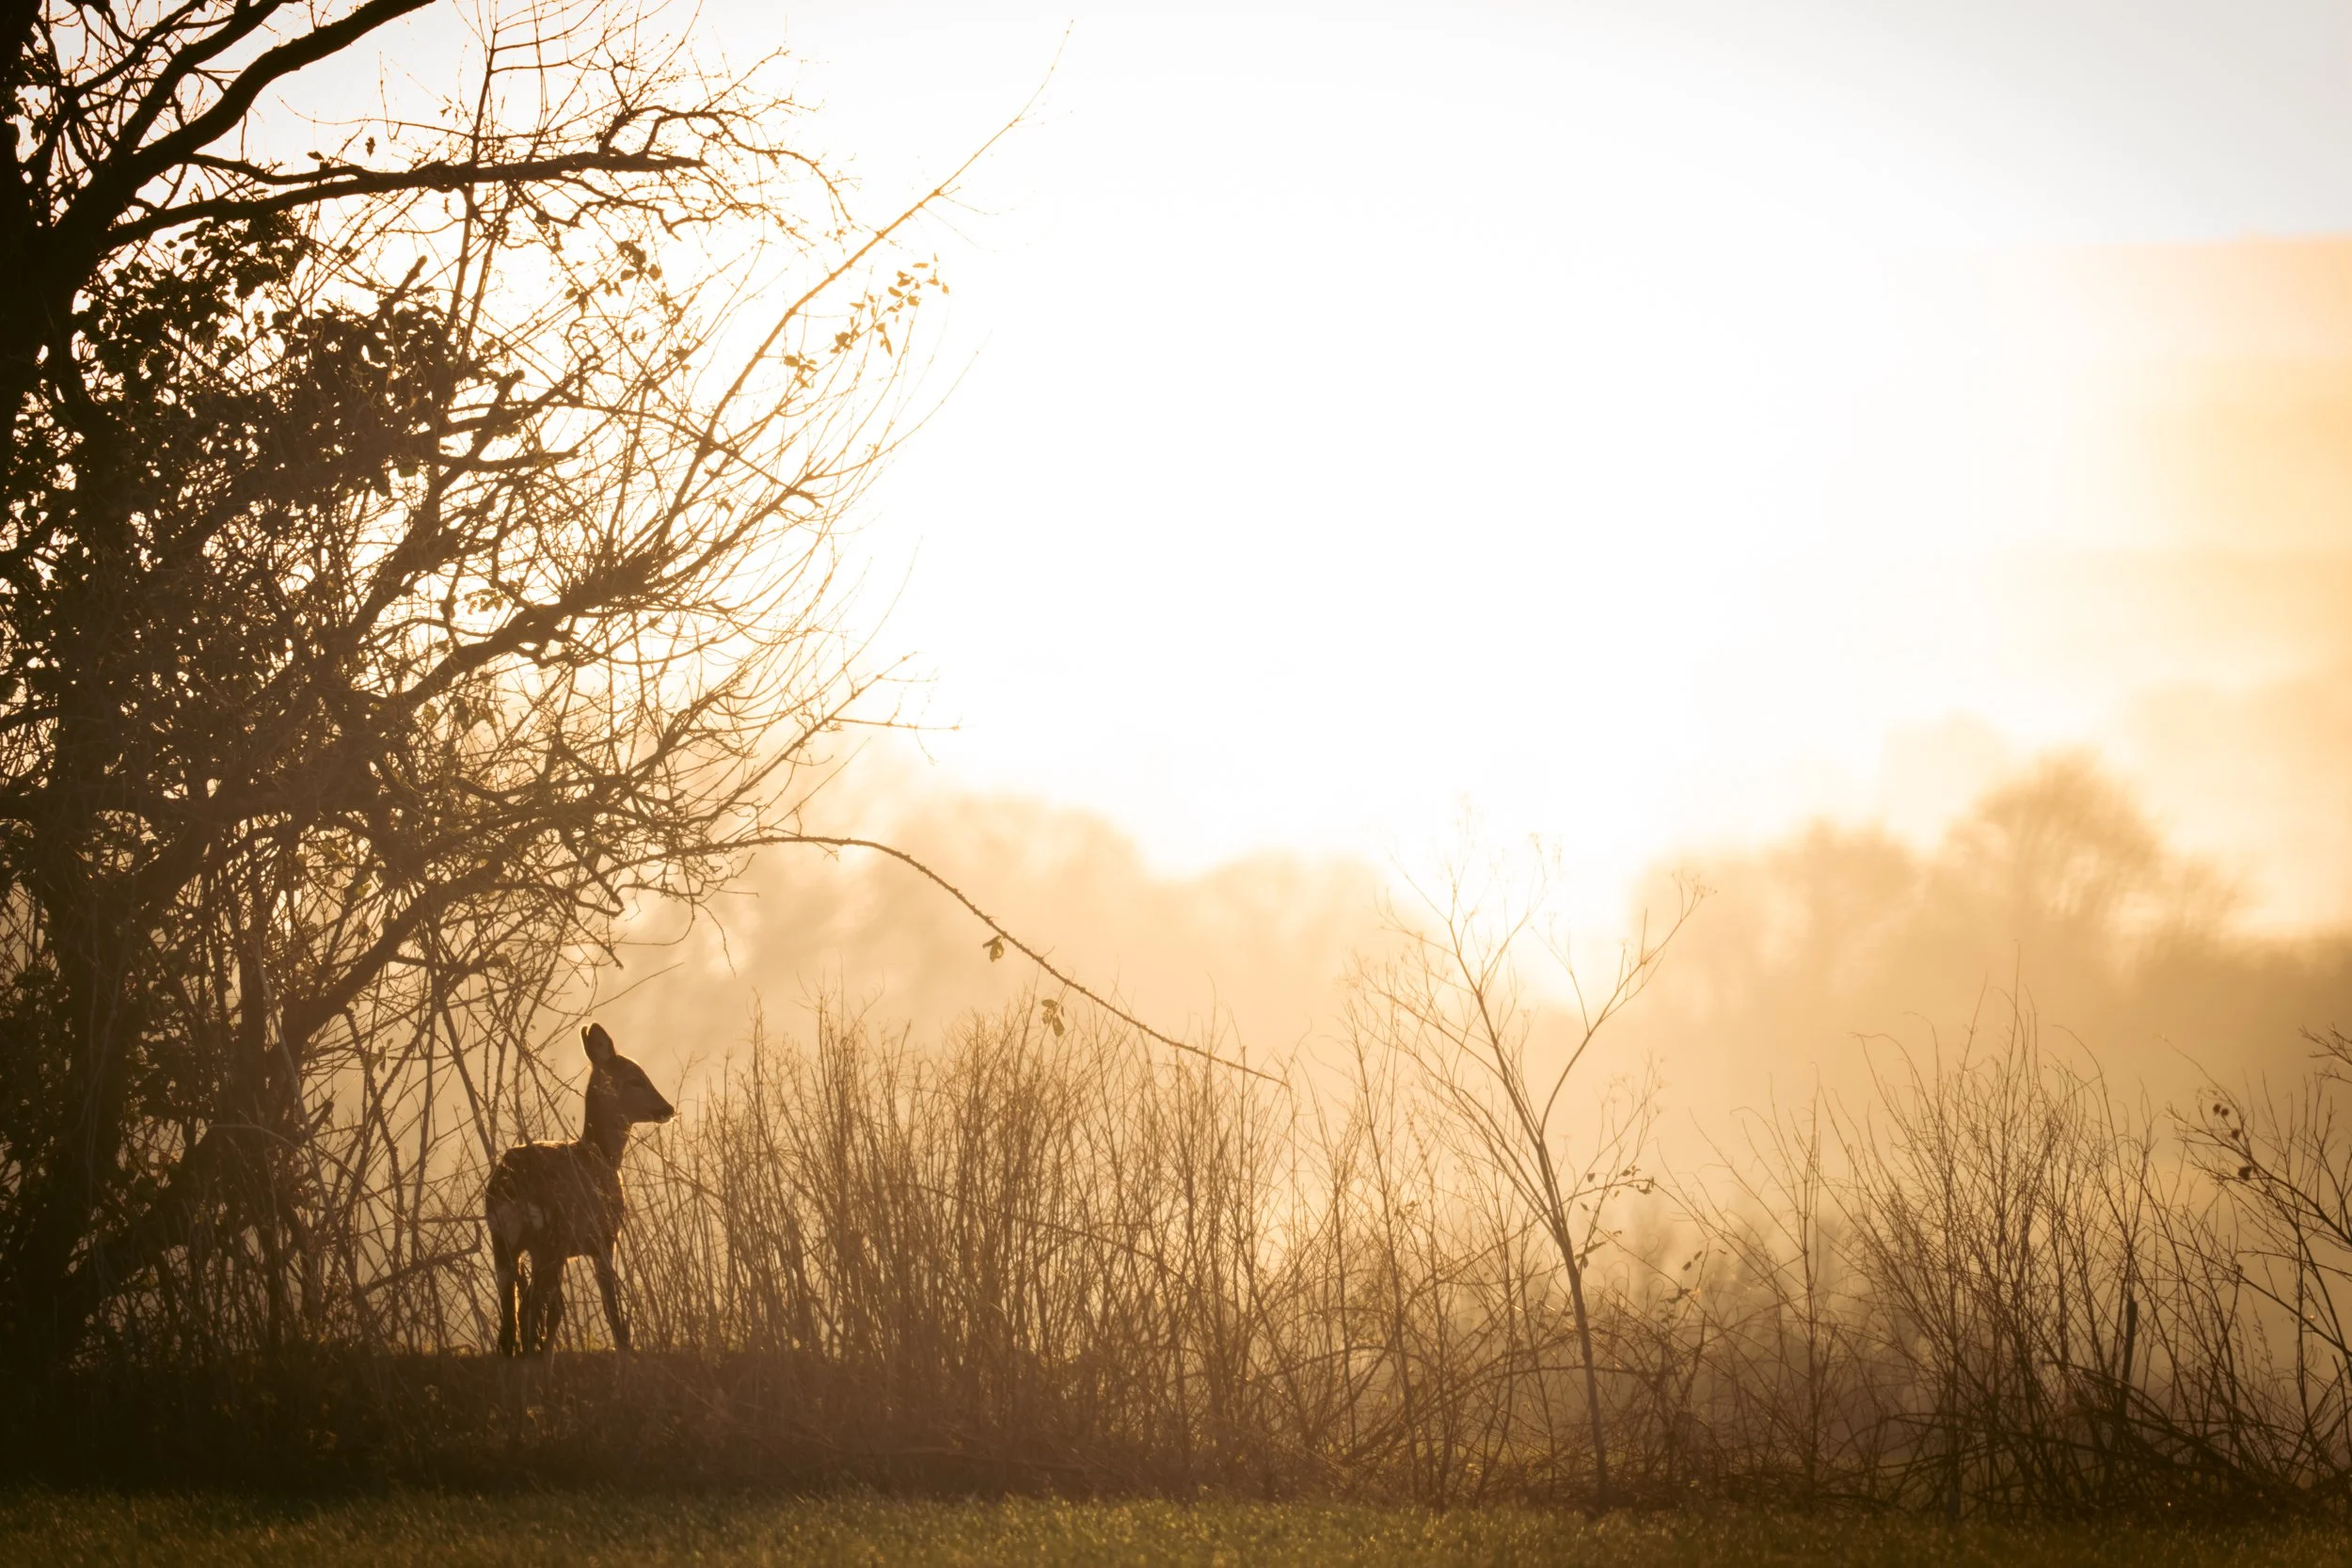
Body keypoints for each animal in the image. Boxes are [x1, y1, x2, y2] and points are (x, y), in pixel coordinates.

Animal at [487, 1022, 675, 1356]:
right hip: (548, 1239)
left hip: (506, 1243)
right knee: (533, 1309)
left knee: (513, 1320)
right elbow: (611, 1307)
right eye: (636, 1079)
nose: (667, 1108)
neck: (600, 1156)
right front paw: (625, 1352)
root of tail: (509, 1185)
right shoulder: (604, 1236)